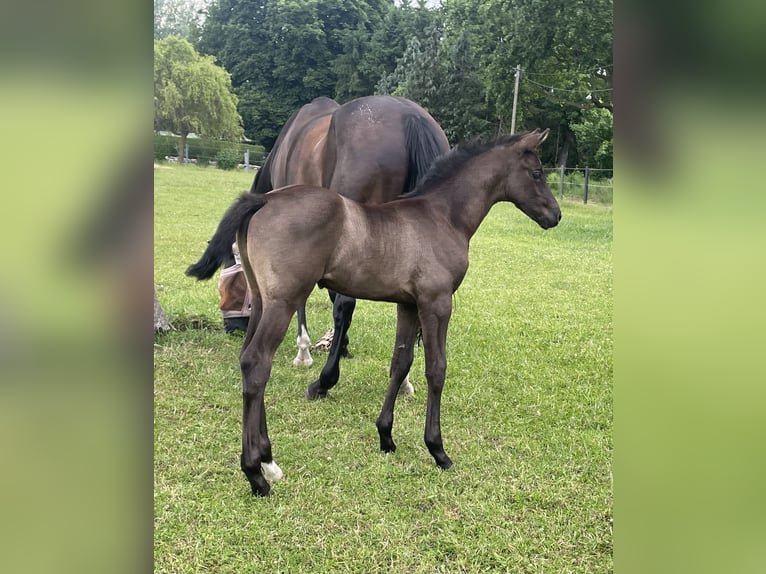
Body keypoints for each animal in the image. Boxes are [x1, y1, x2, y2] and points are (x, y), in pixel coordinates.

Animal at [187, 129, 561, 496]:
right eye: (537, 173)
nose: (555, 215)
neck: (442, 217)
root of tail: (265, 199)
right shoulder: (437, 302)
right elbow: (436, 369)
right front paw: (438, 450)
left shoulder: (408, 304)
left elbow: (401, 363)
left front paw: (386, 436)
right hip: (284, 301)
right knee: (258, 363)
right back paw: (256, 474)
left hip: (263, 301)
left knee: (247, 359)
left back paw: (268, 462)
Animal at [223, 96, 450, 402]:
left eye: (230, 282)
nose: (233, 327)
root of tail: (410, 118)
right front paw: (341, 347)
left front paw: (304, 351)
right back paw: (402, 381)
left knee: (346, 304)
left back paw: (324, 381)